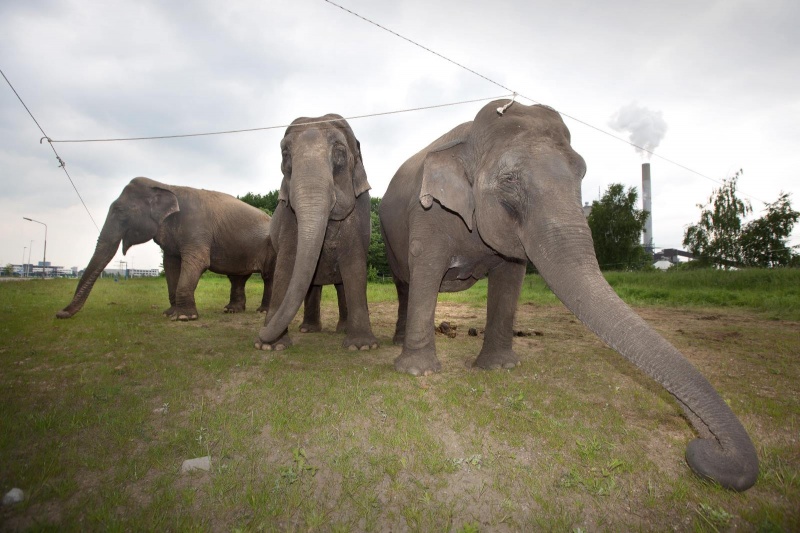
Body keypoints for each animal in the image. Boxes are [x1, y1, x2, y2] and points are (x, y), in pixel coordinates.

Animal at [56, 178, 276, 320]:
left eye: (120, 211)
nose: (60, 314)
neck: (167, 186)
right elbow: (170, 265)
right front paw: (169, 313)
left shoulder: (196, 229)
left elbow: (197, 262)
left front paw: (184, 318)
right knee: (237, 278)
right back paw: (231, 310)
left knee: (268, 277)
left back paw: (263, 311)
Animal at [258, 114, 380, 352]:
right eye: (285, 154)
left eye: (340, 151)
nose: (260, 331)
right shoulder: (288, 216)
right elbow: (286, 263)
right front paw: (271, 346)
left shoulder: (360, 210)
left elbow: (354, 264)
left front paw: (360, 346)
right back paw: (309, 329)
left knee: (340, 285)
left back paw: (341, 329)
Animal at [378, 98, 760, 490]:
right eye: (509, 179)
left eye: (582, 173)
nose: (705, 445)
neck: (468, 136)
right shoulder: (426, 213)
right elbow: (426, 268)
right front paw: (418, 373)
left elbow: (511, 275)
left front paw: (500, 368)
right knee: (405, 283)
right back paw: (399, 343)